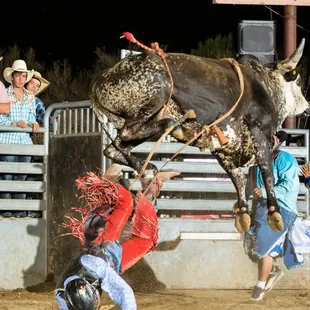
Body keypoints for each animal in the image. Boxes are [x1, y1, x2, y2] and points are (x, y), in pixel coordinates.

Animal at [89, 37, 310, 232]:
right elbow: (266, 171)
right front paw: (274, 212)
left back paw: (150, 169)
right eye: (298, 82)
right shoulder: (260, 130)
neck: (264, 83)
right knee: (129, 134)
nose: (307, 107)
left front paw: (243, 212)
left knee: (115, 148)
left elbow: (238, 177)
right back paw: (172, 129)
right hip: (157, 96)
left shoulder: (222, 147)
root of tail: (99, 81)